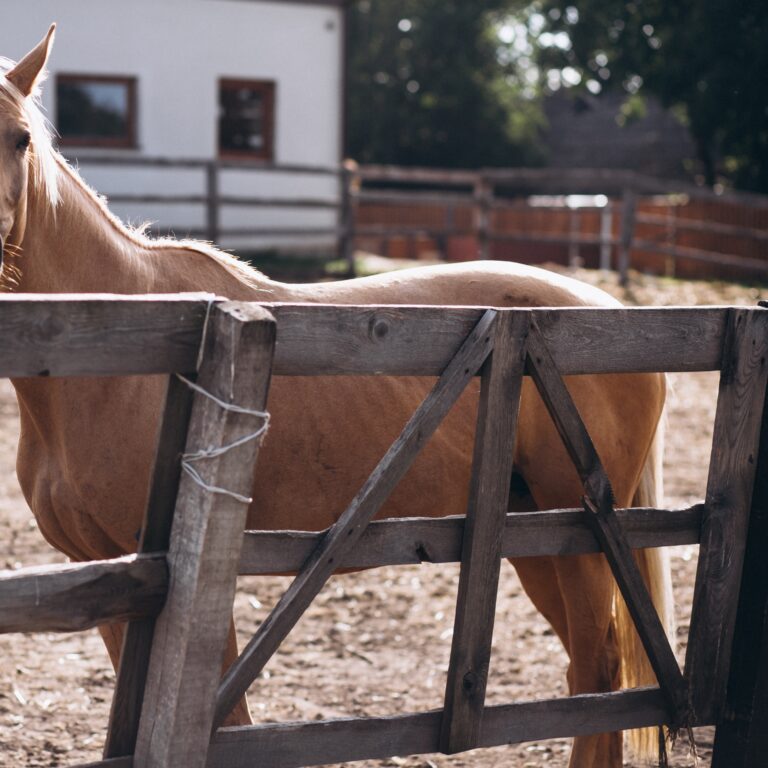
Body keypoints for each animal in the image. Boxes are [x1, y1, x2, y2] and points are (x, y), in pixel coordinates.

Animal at [0, 27, 668, 764]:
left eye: (20, 139)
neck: (130, 345)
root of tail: (614, 312)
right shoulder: (108, 580)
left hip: (581, 539)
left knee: (600, 669)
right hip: (534, 537)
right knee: (586, 673)